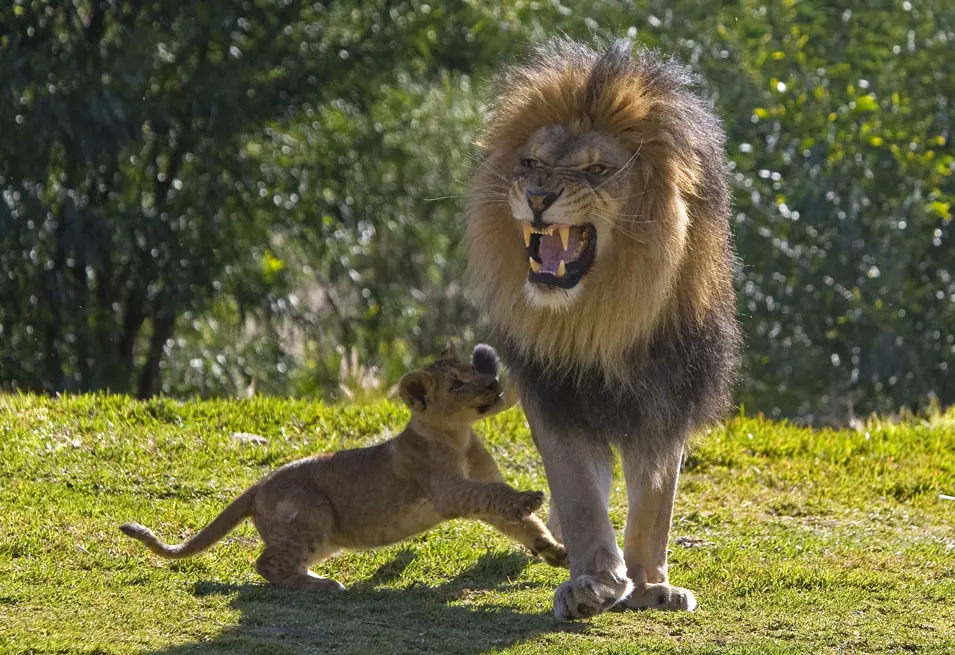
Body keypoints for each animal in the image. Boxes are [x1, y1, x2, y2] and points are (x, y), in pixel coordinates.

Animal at [466, 38, 744, 624]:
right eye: (531, 162)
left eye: (595, 169)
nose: (538, 196)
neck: (601, 318)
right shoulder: (557, 398)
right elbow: (579, 495)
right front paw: (595, 582)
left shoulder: (667, 401)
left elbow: (655, 504)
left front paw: (649, 585)